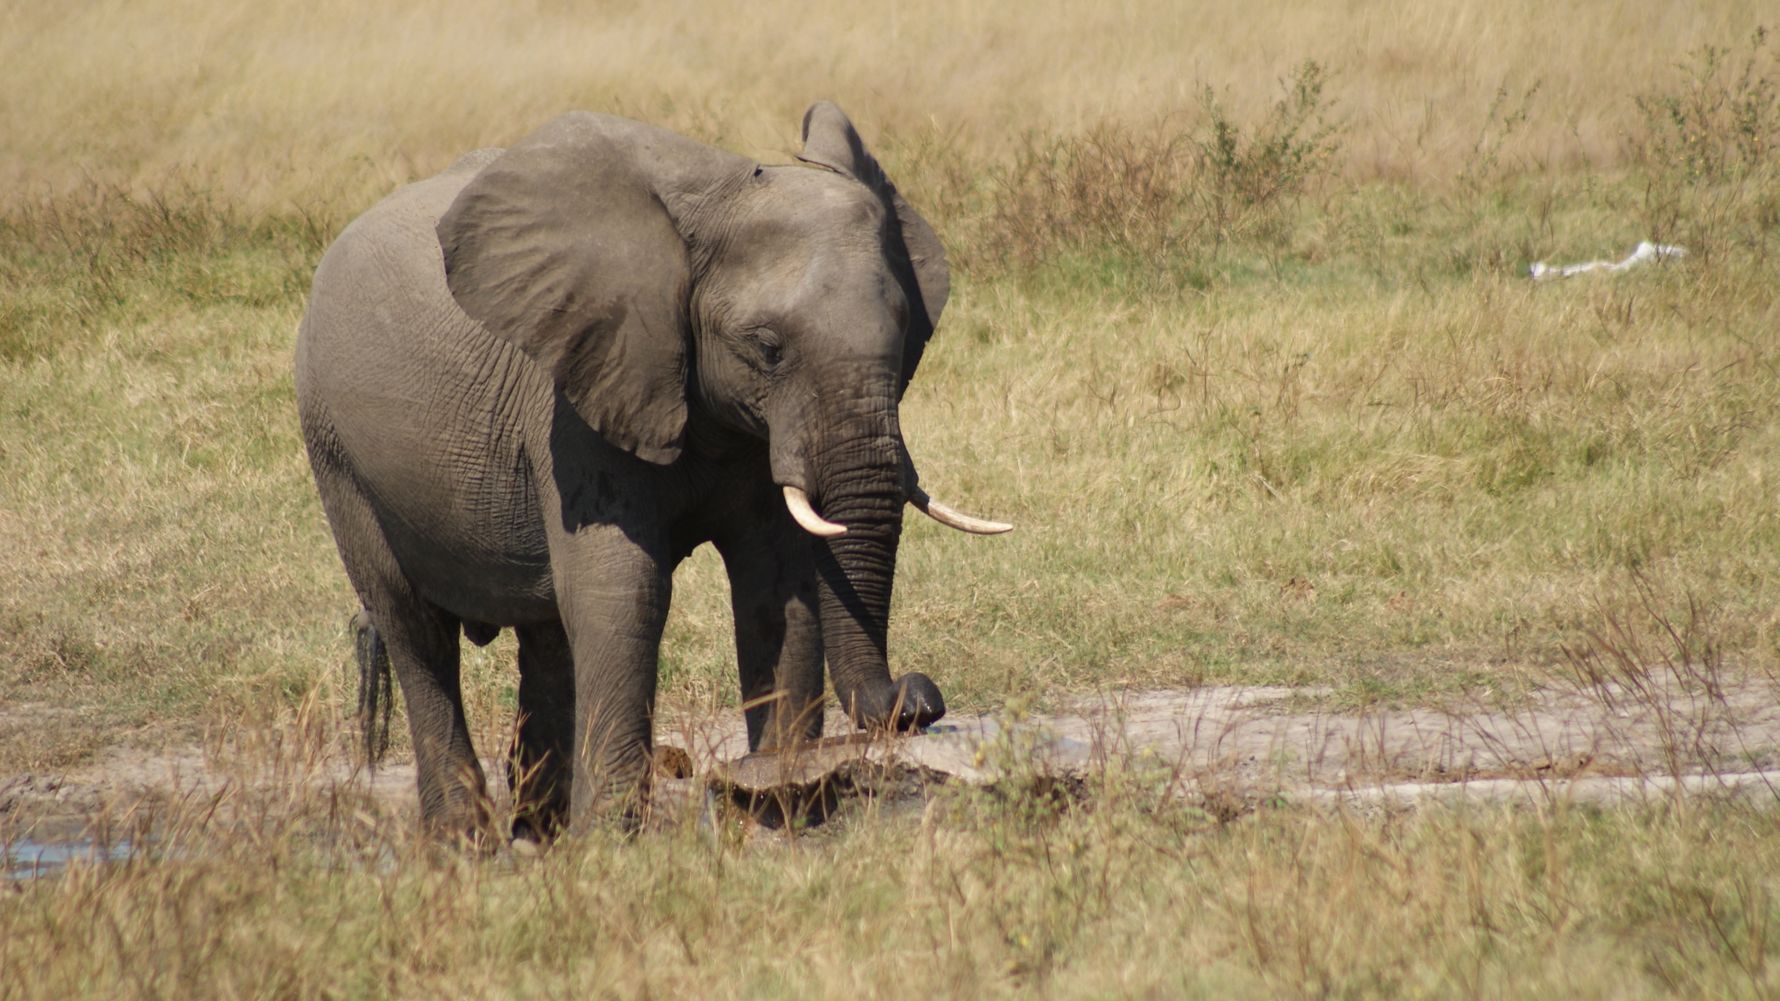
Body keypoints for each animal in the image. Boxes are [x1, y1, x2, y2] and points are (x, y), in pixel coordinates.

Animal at [295, 102, 1010, 843]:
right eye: (768, 348)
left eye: (903, 336)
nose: (917, 700)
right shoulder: (577, 393)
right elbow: (624, 592)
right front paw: (614, 843)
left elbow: (778, 588)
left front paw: (784, 804)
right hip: (334, 447)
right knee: (414, 628)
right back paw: (470, 839)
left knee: (545, 632)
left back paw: (542, 829)